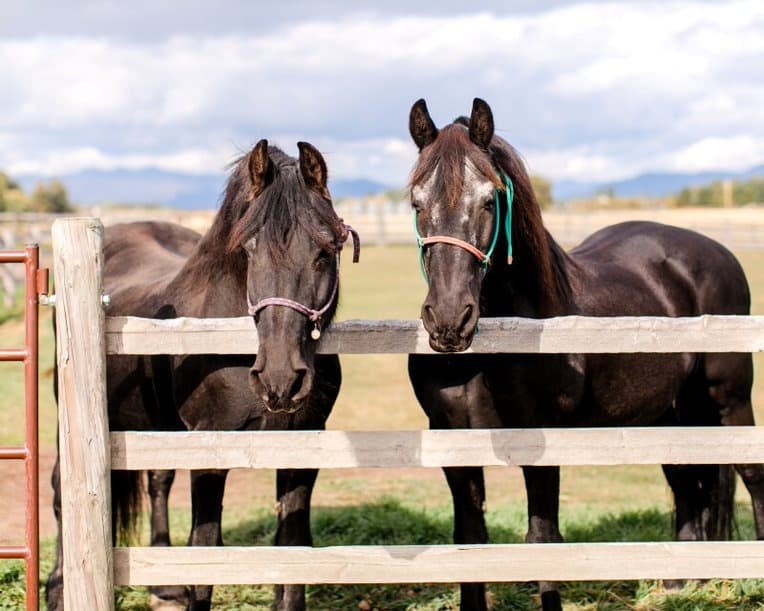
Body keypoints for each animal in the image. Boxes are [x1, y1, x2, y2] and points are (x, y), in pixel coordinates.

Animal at [45, 139, 359, 611]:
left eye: (326, 251)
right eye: (249, 249)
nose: (280, 380)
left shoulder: (303, 446)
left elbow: (293, 546)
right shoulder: (210, 452)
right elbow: (206, 547)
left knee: (158, 482)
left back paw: (165, 586)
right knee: (61, 491)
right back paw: (59, 588)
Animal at [406, 97, 764, 611]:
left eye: (489, 200)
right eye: (417, 203)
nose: (450, 320)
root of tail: (719, 254)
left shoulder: (540, 443)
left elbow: (543, 541)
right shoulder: (452, 442)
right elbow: (469, 541)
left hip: (729, 399)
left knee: (752, 474)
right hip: (669, 413)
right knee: (685, 483)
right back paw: (679, 584)